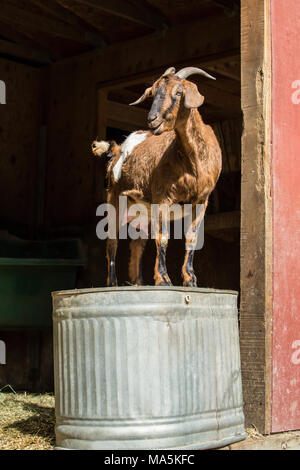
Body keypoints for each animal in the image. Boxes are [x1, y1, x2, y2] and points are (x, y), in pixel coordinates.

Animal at [92, 66, 221, 286]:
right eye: (152, 93)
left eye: (178, 92)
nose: (153, 120)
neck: (193, 162)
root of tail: (117, 149)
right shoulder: (163, 197)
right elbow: (163, 237)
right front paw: (164, 279)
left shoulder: (201, 200)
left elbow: (192, 237)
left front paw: (190, 279)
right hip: (115, 198)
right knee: (112, 241)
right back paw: (113, 282)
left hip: (142, 210)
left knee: (137, 244)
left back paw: (138, 282)